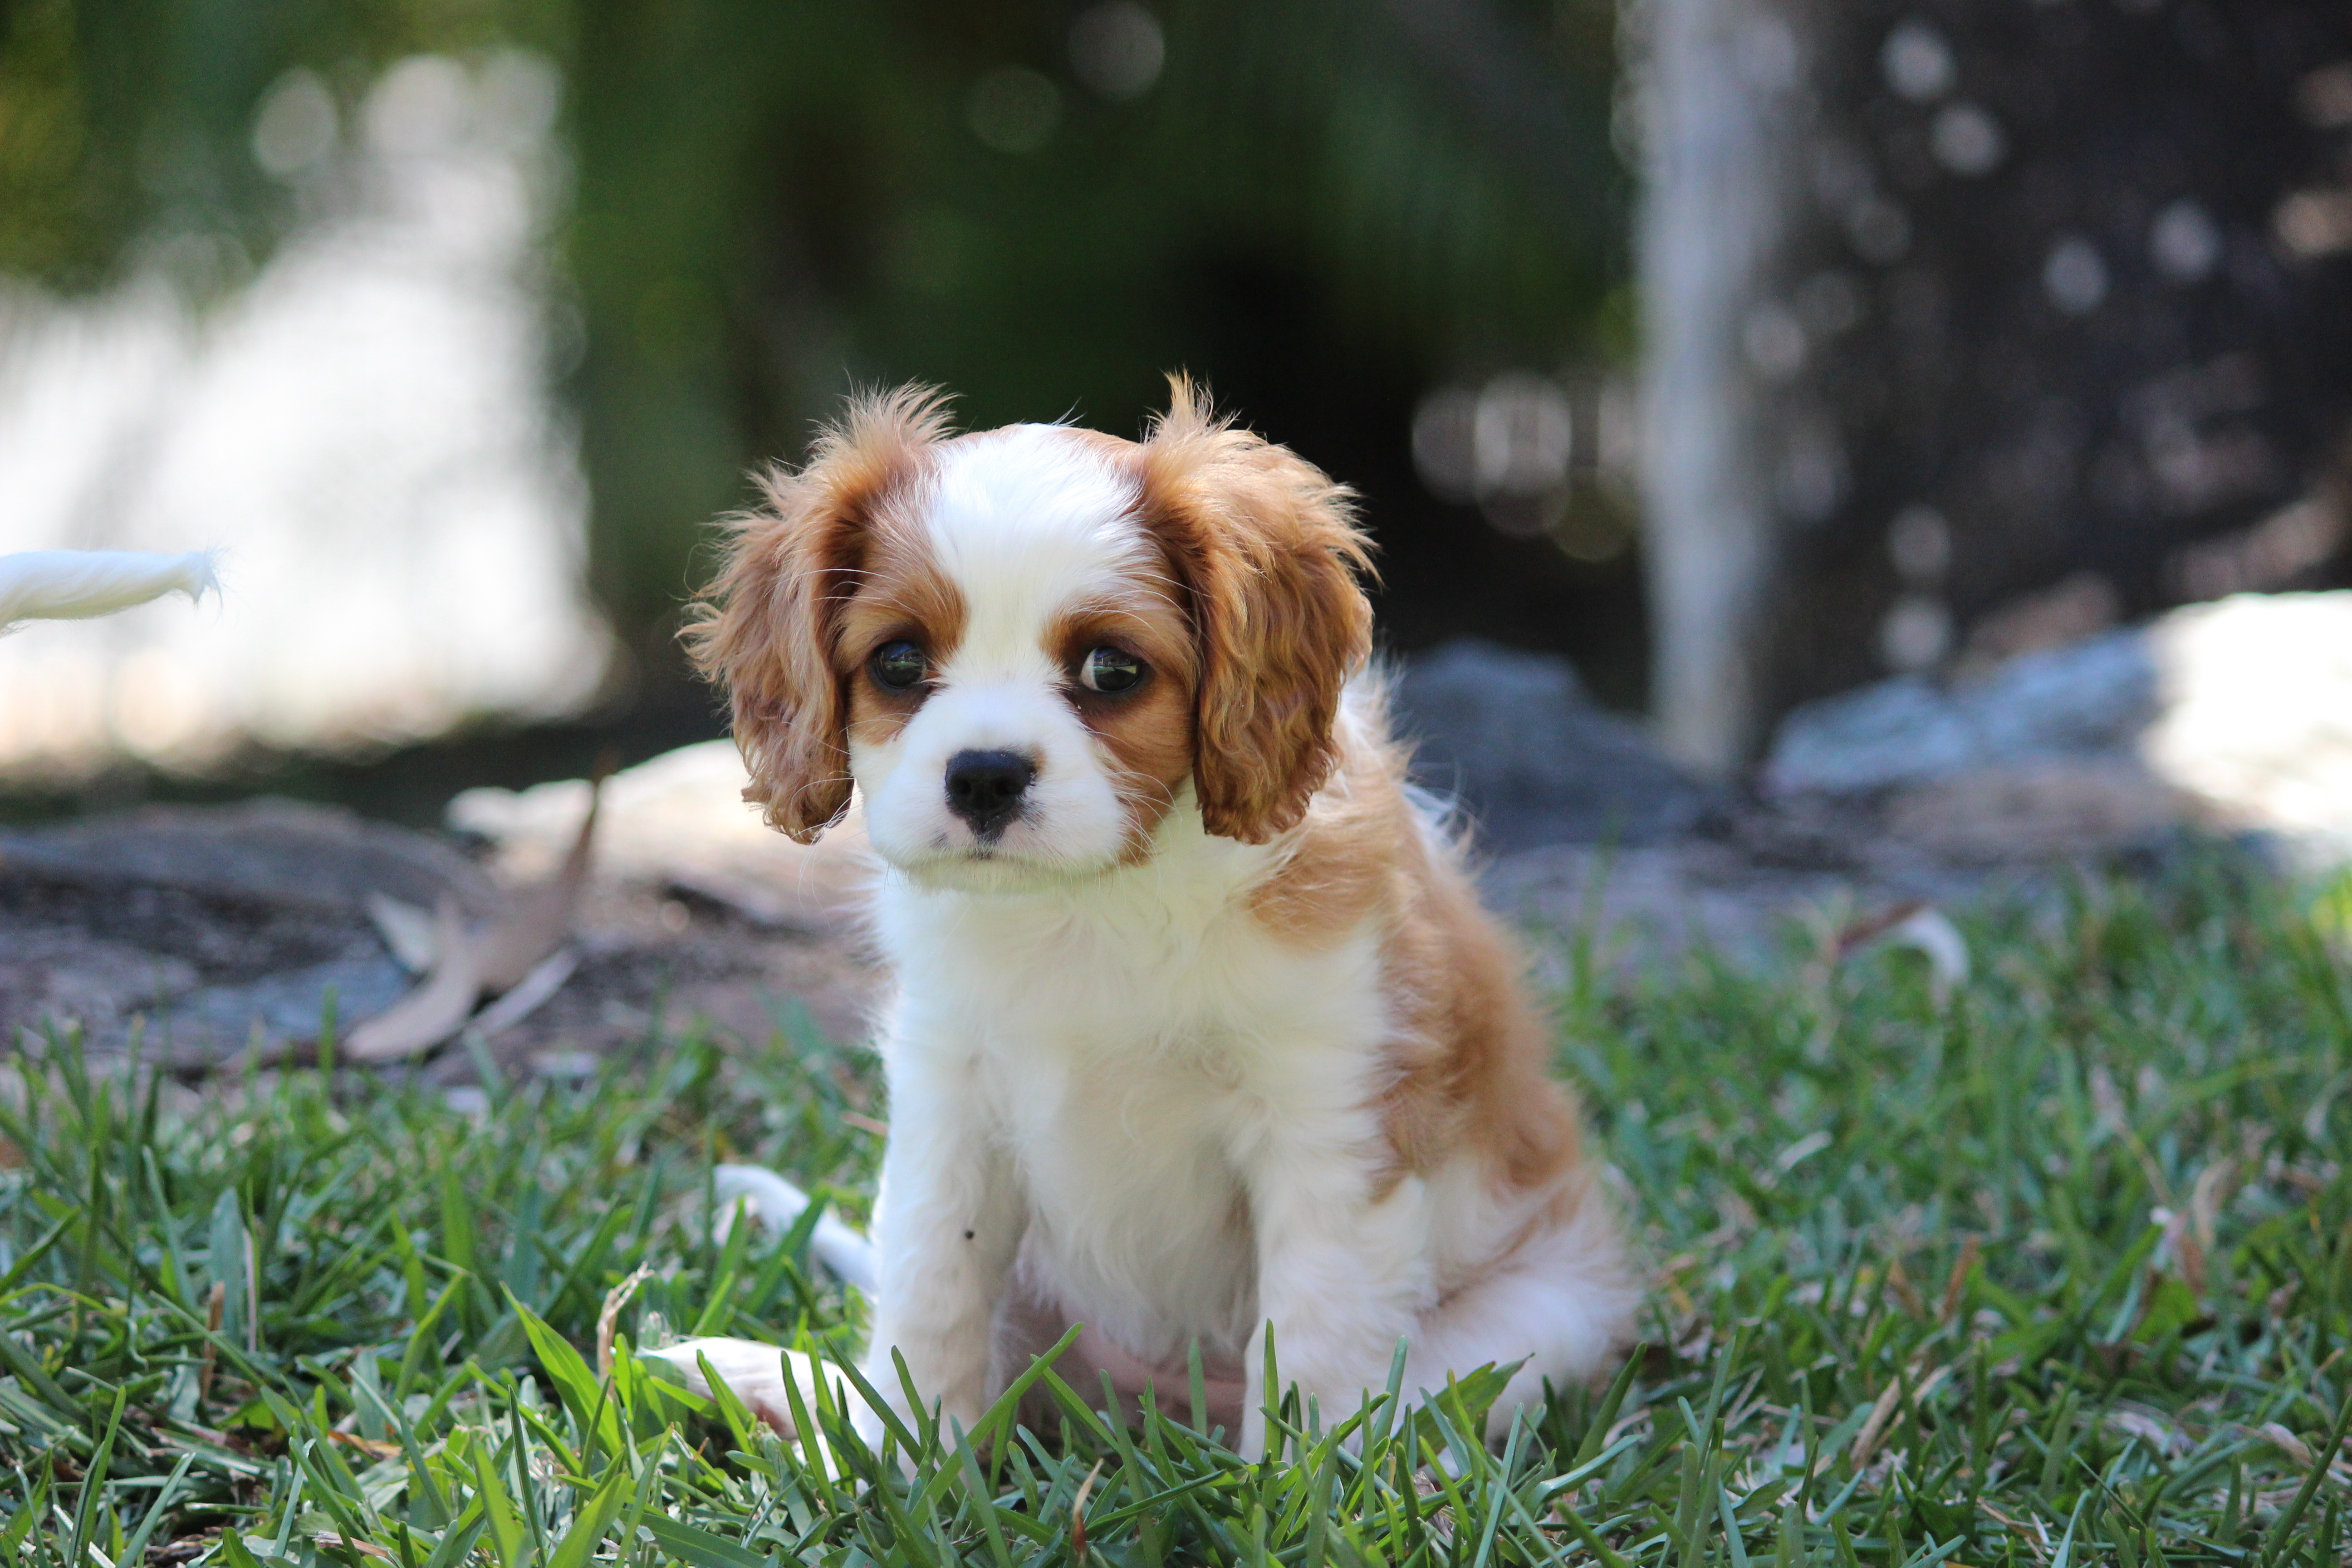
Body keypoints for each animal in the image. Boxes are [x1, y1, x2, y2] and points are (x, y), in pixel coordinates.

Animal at [686, 383, 1627, 1457]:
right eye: (897, 662)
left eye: (1111, 670)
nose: (984, 775)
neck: (1094, 899)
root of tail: (1149, 1411)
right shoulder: (950, 1101)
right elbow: (931, 1284)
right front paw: (902, 1464)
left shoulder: (1327, 1123)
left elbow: (1311, 1344)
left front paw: (1289, 1488)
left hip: (1535, 1322)